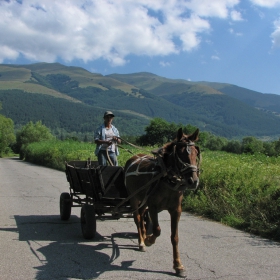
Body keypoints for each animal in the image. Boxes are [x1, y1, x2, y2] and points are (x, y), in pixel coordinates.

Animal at [123, 128, 200, 276]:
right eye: (180, 153)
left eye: (196, 153)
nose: (193, 181)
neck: (167, 179)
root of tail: (134, 158)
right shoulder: (153, 207)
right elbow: (157, 230)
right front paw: (149, 240)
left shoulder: (176, 210)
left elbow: (175, 237)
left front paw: (178, 266)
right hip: (134, 198)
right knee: (138, 218)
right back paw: (141, 241)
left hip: (143, 200)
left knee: (142, 216)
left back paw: (142, 236)